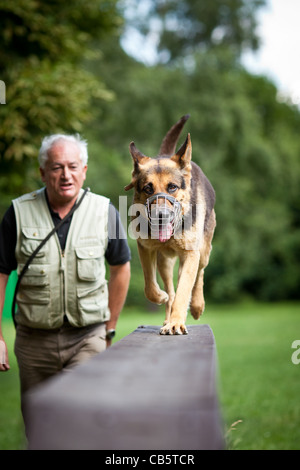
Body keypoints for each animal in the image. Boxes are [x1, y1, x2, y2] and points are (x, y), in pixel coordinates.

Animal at [124, 114, 216, 334]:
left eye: (172, 187)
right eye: (148, 188)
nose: (161, 216)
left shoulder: (191, 254)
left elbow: (184, 291)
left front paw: (176, 322)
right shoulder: (145, 248)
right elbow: (150, 287)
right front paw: (162, 300)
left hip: (202, 253)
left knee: (198, 276)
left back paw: (196, 306)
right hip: (165, 262)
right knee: (171, 290)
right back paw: (167, 313)